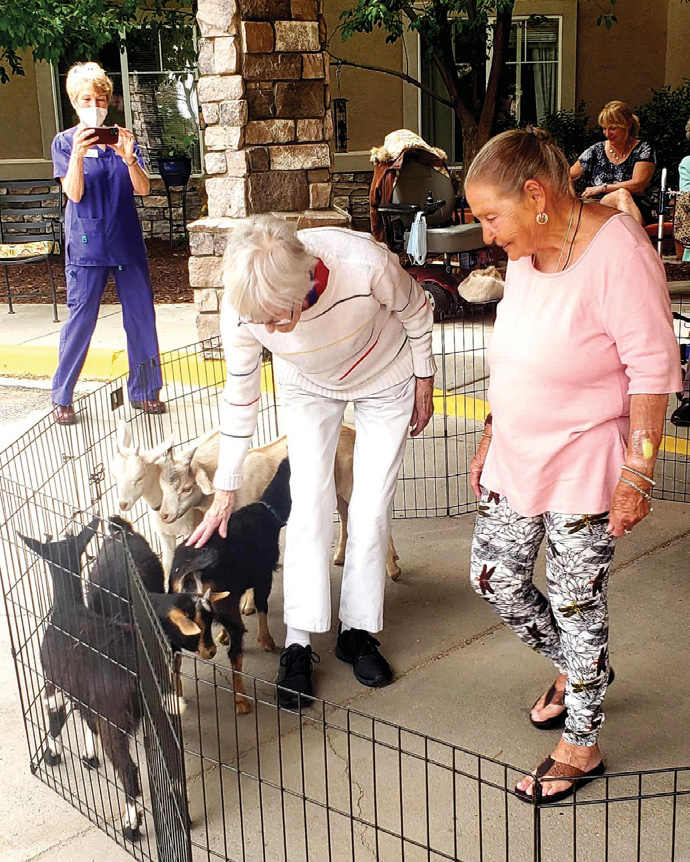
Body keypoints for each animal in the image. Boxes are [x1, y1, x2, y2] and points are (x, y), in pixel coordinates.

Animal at [20, 520, 144, 844]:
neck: (67, 607)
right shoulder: (82, 692)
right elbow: (86, 721)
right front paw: (89, 755)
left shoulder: (53, 682)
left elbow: (55, 718)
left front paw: (51, 755)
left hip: (115, 719)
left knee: (129, 772)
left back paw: (131, 826)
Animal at [172, 460, 292, 716]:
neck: (267, 511)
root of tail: (192, 572)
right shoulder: (262, 576)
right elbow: (262, 605)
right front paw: (266, 641)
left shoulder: (232, 591)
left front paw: (222, 635)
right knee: (235, 654)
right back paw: (242, 701)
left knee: (174, 654)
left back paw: (176, 697)